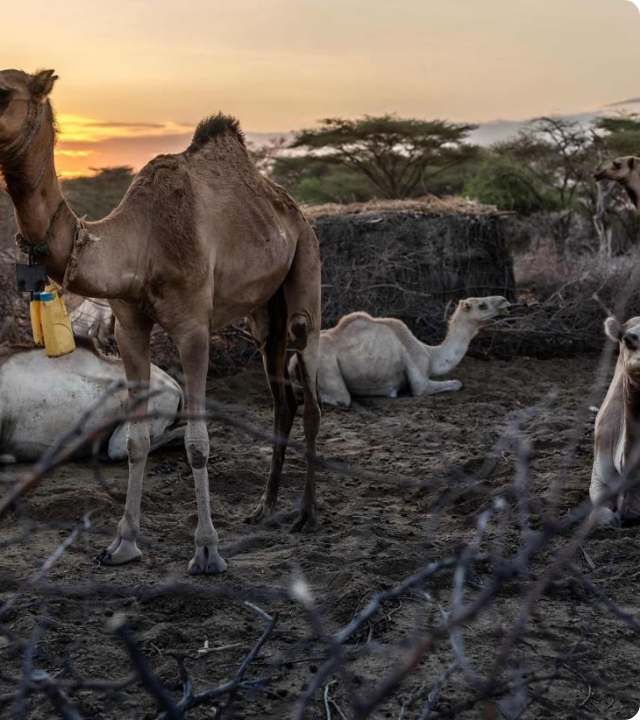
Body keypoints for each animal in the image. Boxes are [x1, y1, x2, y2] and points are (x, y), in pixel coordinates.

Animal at [289, 296, 510, 407]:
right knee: (340, 399)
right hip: (326, 367)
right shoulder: (419, 377)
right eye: (482, 305)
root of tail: (294, 360)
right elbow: (455, 383)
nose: (504, 300)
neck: (430, 354)